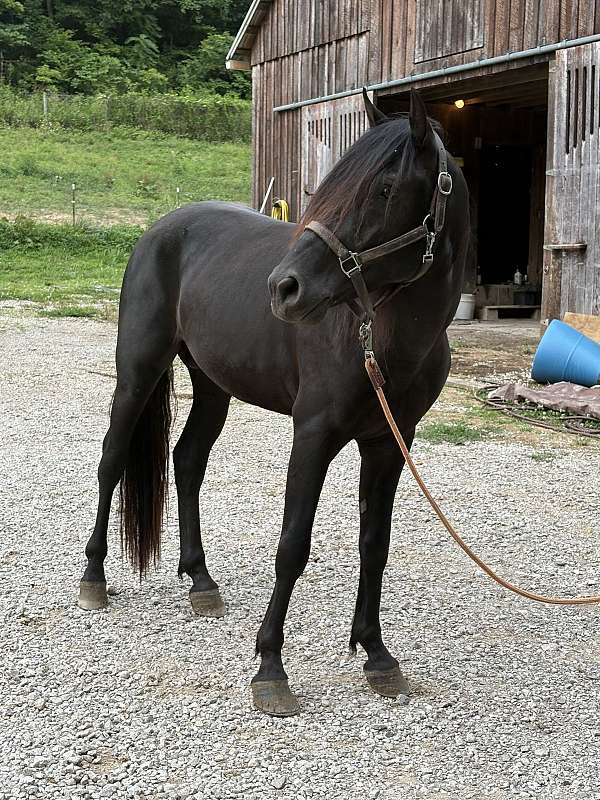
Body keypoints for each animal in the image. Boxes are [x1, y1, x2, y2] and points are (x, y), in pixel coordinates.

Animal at [78, 90, 470, 717]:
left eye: (385, 190)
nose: (283, 288)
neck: (380, 338)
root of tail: (160, 229)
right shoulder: (313, 435)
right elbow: (292, 546)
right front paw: (270, 668)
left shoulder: (390, 442)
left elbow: (375, 544)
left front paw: (376, 654)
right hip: (137, 374)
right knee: (111, 462)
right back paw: (93, 579)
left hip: (214, 387)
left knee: (187, 462)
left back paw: (202, 582)